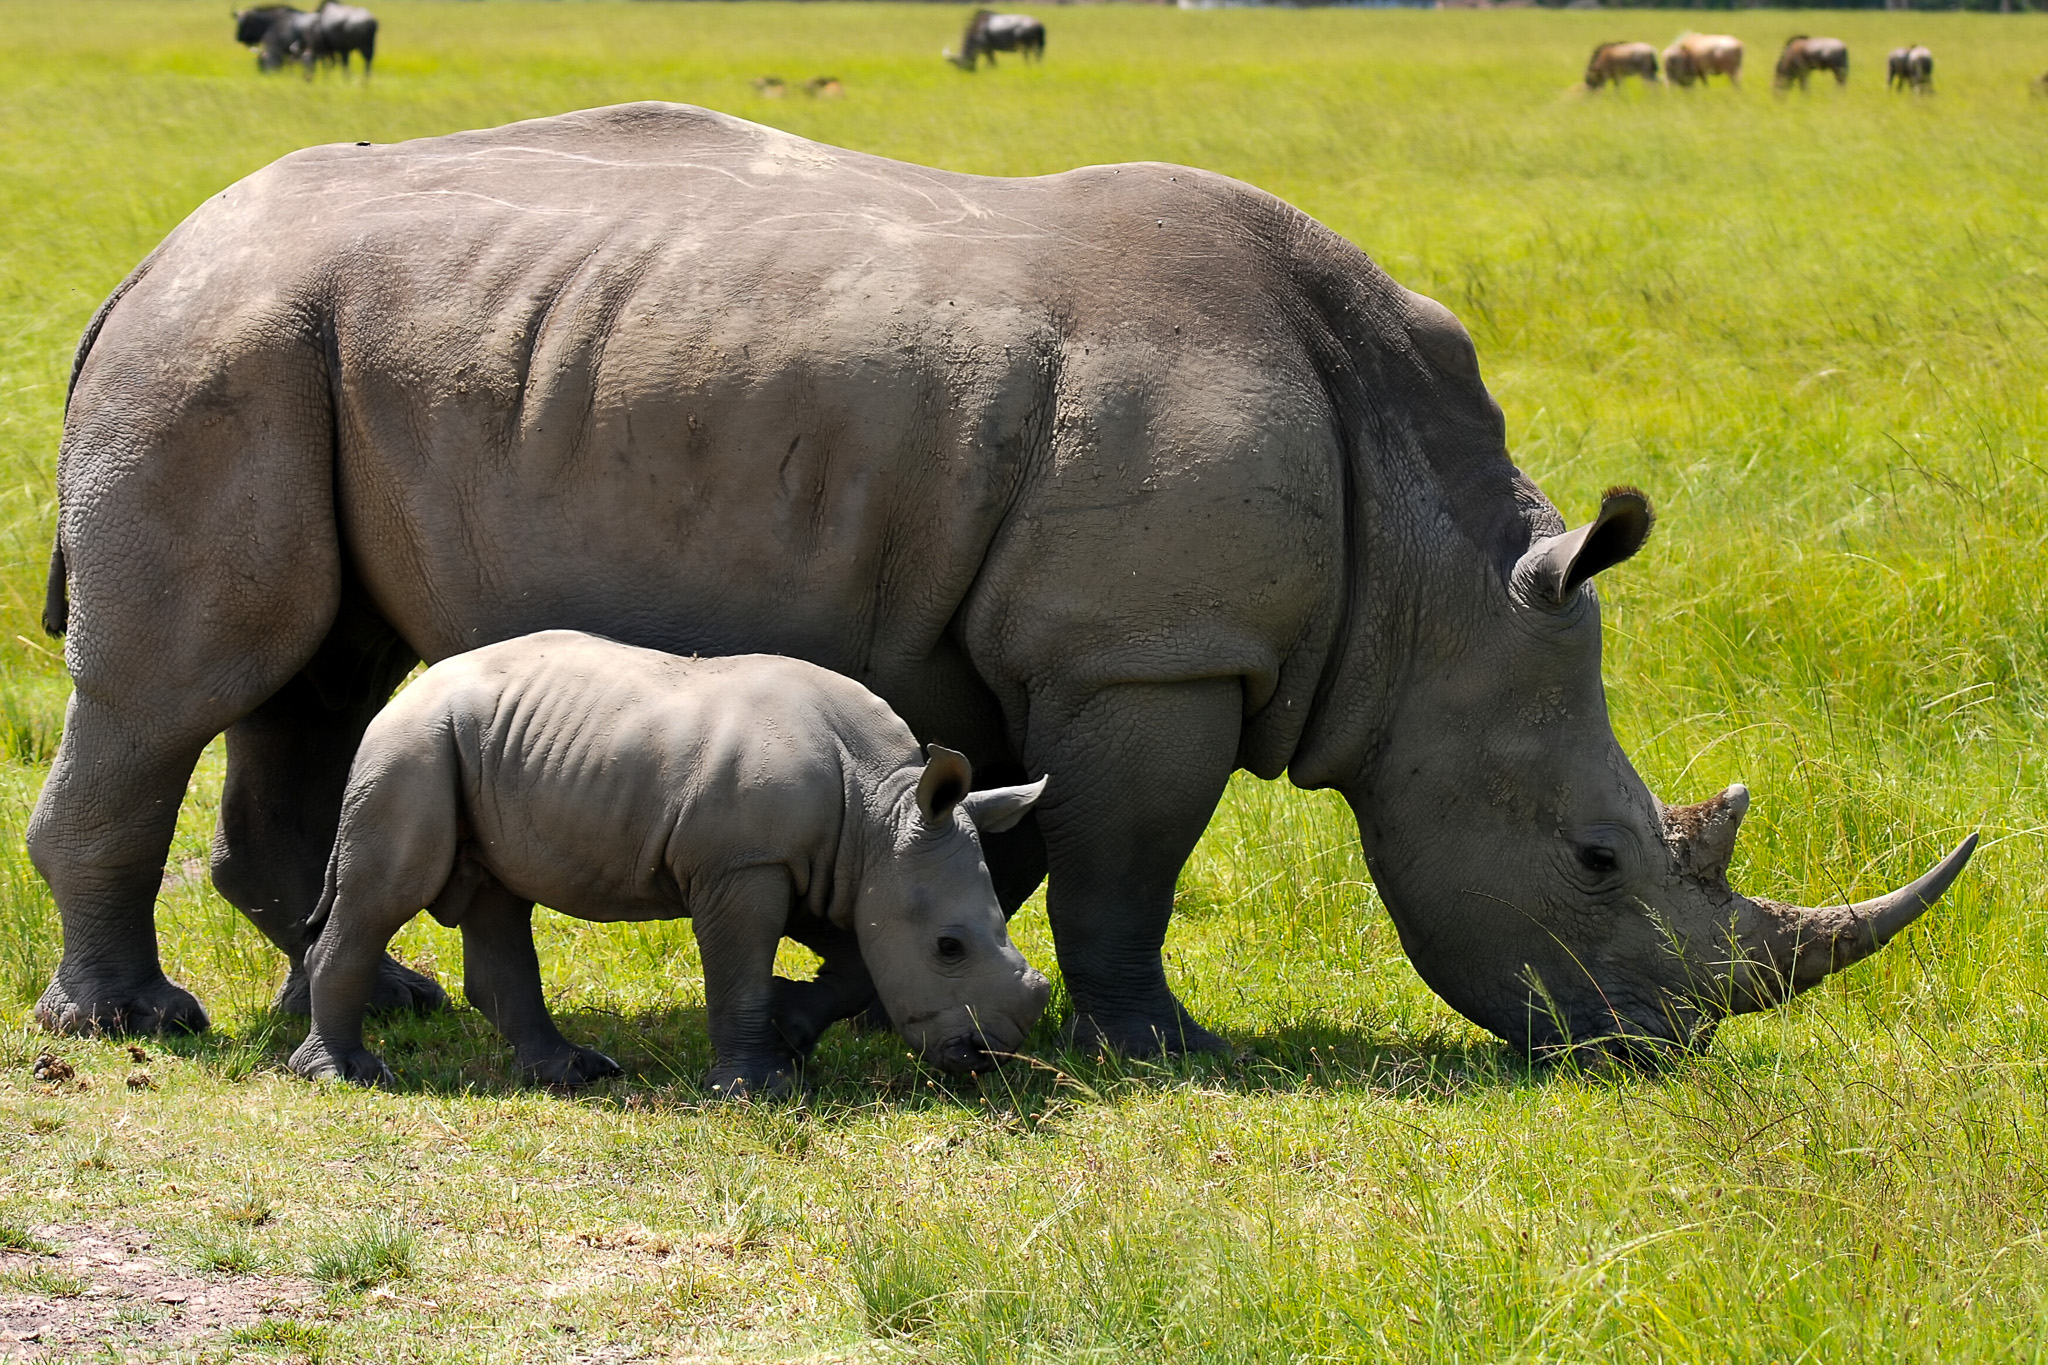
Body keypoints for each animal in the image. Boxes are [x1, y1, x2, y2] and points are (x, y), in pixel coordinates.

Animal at [287, 632, 1049, 1095]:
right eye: (948, 947)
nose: (991, 1057)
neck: (882, 806)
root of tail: (404, 696)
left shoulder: (835, 868)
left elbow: (857, 962)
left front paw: (792, 1029)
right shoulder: (744, 866)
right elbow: (741, 970)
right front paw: (760, 1088)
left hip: (474, 745)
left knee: (498, 897)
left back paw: (574, 1073)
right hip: (413, 745)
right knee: (388, 894)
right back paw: (348, 1074)